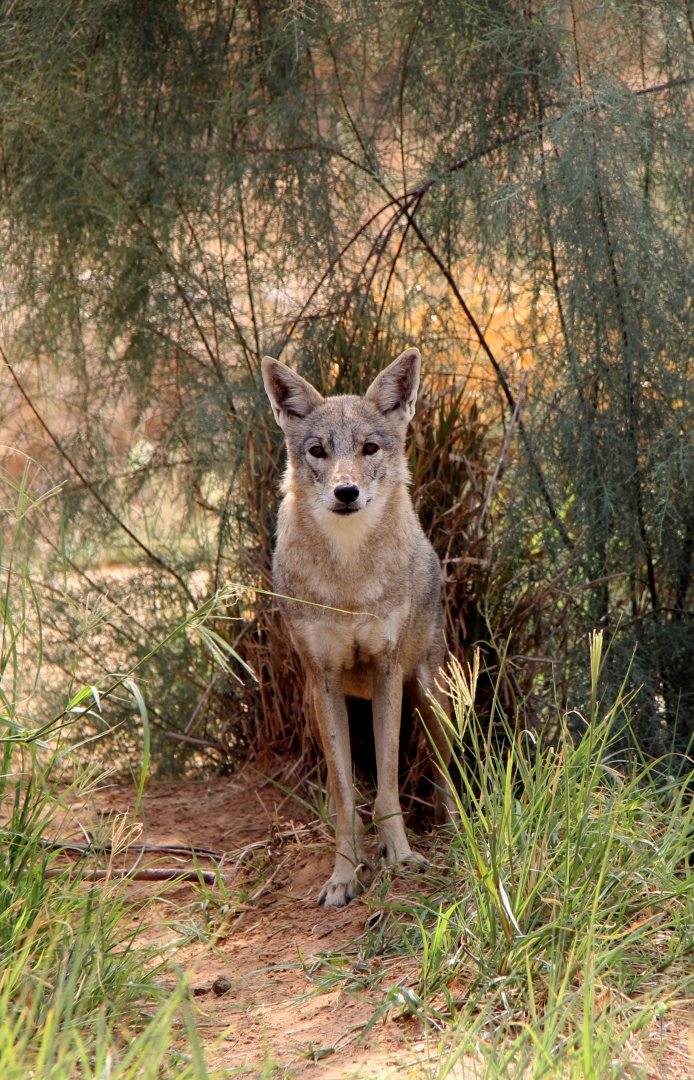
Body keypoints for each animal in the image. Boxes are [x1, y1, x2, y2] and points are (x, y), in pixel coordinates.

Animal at [261, 348, 454, 907]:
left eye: (369, 448)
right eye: (318, 451)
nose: (346, 492)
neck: (348, 578)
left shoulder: (388, 671)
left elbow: (387, 783)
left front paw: (403, 856)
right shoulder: (325, 678)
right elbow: (348, 795)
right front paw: (344, 873)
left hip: (432, 694)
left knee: (445, 773)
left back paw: (455, 825)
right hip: (312, 702)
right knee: (332, 780)